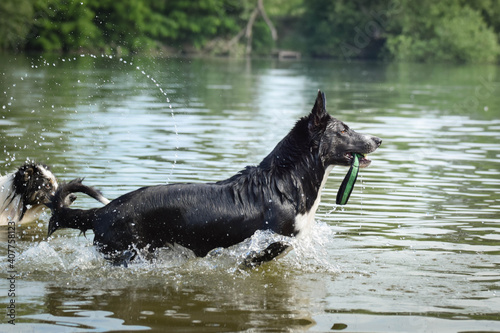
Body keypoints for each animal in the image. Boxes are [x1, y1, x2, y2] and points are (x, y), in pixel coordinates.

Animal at [47, 91, 382, 264]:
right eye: (344, 130)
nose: (378, 139)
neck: (286, 180)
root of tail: (103, 211)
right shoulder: (270, 241)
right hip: (126, 252)